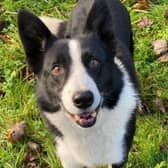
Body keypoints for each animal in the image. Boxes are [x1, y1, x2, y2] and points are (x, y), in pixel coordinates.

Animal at [18, 0, 139, 167]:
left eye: (94, 62)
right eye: (56, 68)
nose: (83, 99)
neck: (89, 130)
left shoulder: (118, 157)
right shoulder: (69, 159)